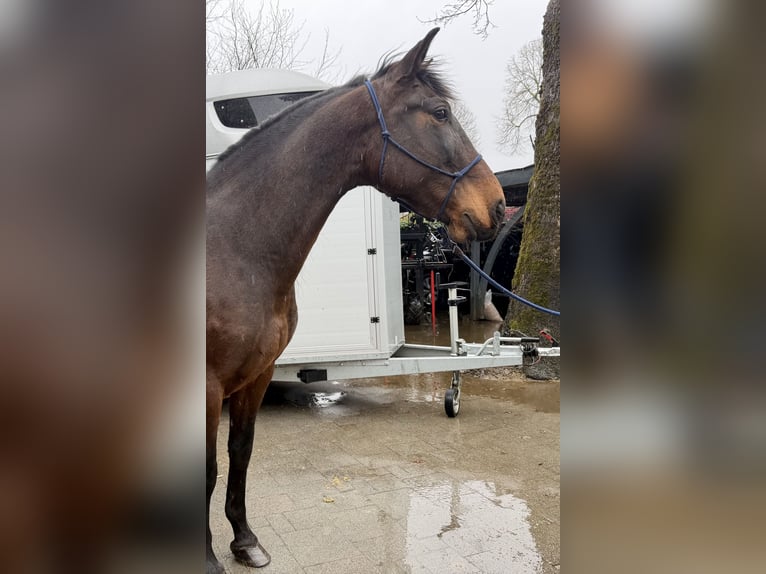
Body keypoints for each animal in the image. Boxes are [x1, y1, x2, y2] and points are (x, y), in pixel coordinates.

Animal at [206, 28, 505, 573]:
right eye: (439, 113)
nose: (495, 204)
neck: (232, 247)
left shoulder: (255, 377)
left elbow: (241, 451)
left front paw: (244, 540)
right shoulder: (207, 384)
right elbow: (210, 466)